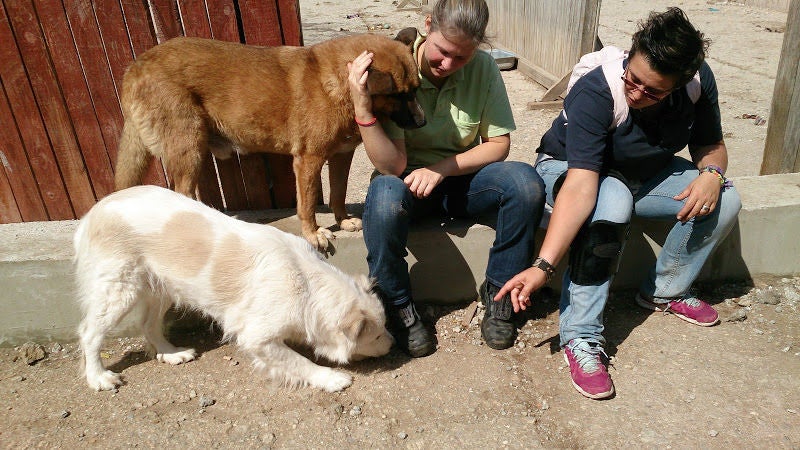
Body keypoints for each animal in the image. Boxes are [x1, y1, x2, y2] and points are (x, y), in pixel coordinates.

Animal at [75, 185, 393, 393]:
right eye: (377, 335)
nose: (393, 345)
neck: (306, 283)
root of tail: (92, 213)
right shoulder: (257, 338)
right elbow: (300, 362)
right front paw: (331, 378)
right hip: (119, 291)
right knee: (89, 333)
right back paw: (98, 377)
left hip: (161, 289)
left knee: (148, 325)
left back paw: (171, 353)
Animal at [114, 30, 426, 251]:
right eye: (399, 95)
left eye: (416, 90)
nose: (423, 123)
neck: (340, 85)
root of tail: (135, 67)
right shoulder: (308, 161)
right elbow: (307, 204)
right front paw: (312, 233)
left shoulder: (341, 156)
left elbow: (338, 192)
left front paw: (342, 220)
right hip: (189, 148)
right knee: (182, 192)